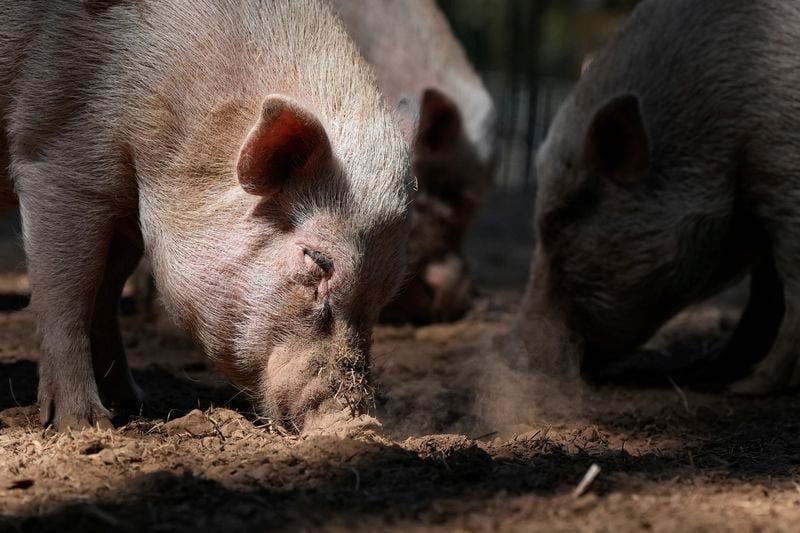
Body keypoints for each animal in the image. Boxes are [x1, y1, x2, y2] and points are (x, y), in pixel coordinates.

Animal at [0, 0, 412, 430]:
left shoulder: (130, 215)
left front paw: (136, 402)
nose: (361, 424)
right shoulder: (55, 152)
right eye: (319, 260)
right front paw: (86, 424)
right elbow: (70, 292)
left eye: (389, 290)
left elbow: (107, 294)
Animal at [520, 0, 800, 392]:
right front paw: (704, 373)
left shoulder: (784, 170)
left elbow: (790, 290)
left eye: (562, 217)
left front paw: (748, 387)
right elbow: (764, 298)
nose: (517, 352)